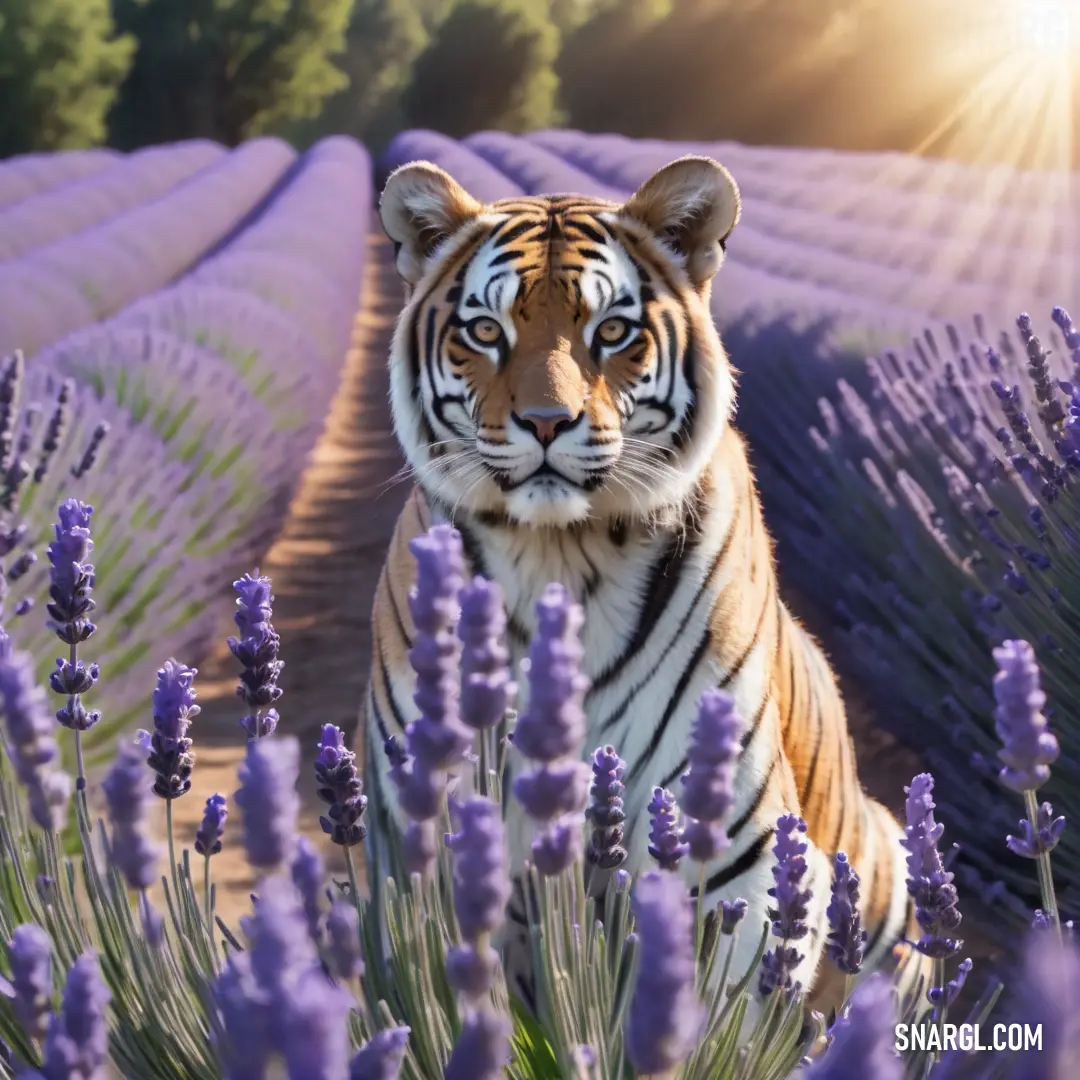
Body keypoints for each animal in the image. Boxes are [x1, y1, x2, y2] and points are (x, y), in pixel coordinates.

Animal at [360, 154, 928, 1019]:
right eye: (486, 331)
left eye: (612, 331)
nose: (547, 421)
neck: (558, 555)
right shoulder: (422, 841)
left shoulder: (732, 856)